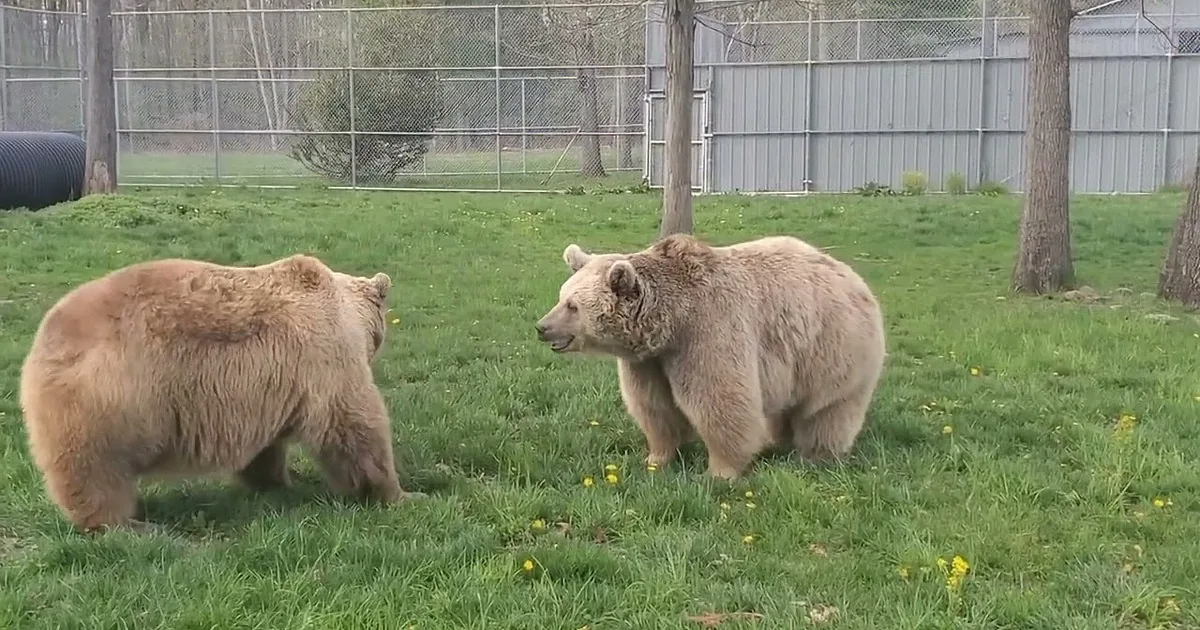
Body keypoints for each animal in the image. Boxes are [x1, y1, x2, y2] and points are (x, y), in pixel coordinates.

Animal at [18, 253, 423, 534]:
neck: (346, 311)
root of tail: (42, 340)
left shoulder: (271, 386)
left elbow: (267, 448)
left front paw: (276, 482)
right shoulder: (323, 357)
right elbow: (354, 424)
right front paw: (401, 494)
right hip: (108, 398)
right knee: (96, 470)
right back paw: (128, 525)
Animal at [535, 233, 886, 480]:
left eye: (573, 306)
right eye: (562, 296)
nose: (542, 327)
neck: (671, 322)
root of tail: (853, 277)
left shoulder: (707, 332)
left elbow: (720, 402)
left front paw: (719, 472)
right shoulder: (649, 361)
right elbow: (655, 407)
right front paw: (656, 458)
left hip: (832, 346)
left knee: (827, 409)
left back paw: (817, 455)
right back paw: (778, 441)